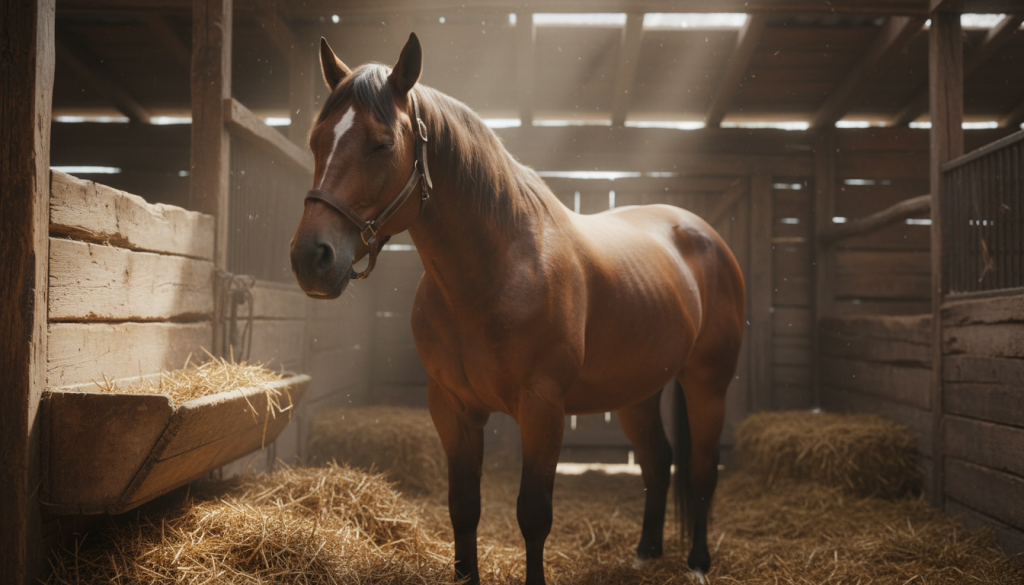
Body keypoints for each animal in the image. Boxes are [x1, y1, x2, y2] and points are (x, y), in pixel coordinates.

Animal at [290, 33, 745, 585]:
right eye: (317, 141)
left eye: (382, 143)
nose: (311, 258)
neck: (497, 271)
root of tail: (701, 231)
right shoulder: (452, 408)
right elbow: (464, 507)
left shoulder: (542, 407)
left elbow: (533, 514)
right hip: (637, 392)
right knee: (658, 462)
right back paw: (645, 553)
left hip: (707, 383)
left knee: (701, 469)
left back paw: (698, 562)